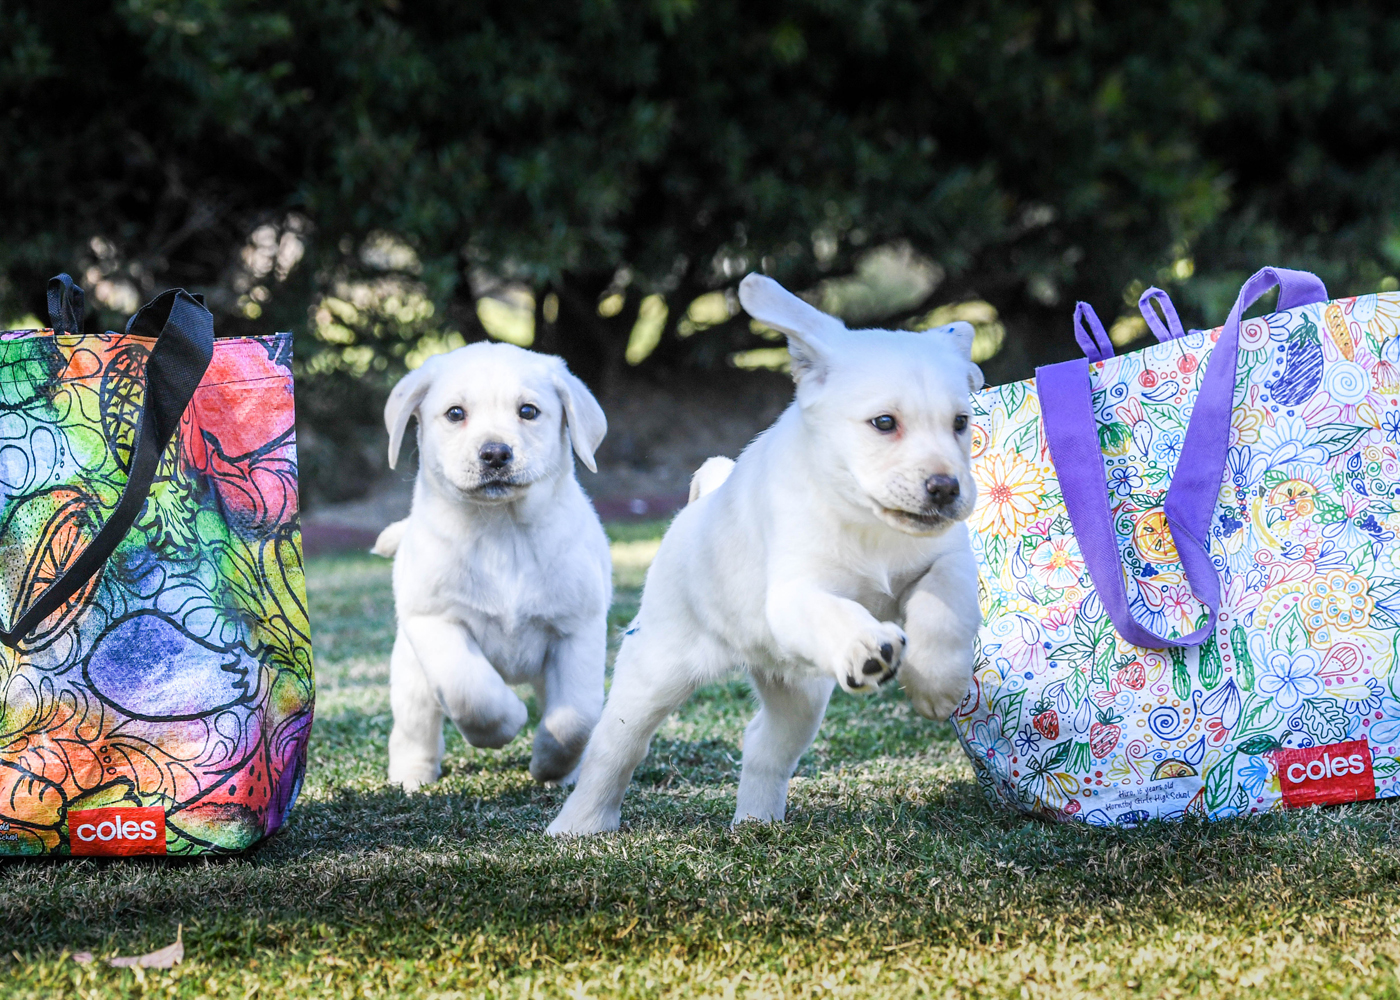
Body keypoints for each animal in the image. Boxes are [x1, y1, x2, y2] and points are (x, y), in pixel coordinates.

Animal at [380, 340, 610, 784]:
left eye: (528, 411)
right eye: (455, 413)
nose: (495, 453)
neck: (503, 531)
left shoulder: (578, 629)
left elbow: (575, 719)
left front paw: (550, 765)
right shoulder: (436, 622)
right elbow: (472, 694)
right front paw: (507, 723)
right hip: (412, 675)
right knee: (414, 729)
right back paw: (410, 776)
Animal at [546, 273, 985, 834]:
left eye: (960, 423)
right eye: (884, 423)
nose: (946, 489)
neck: (866, 520)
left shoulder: (949, 559)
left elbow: (944, 605)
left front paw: (936, 683)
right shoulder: (795, 593)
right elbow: (835, 611)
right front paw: (867, 647)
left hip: (798, 691)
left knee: (765, 745)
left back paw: (756, 822)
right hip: (653, 672)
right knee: (615, 748)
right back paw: (579, 824)